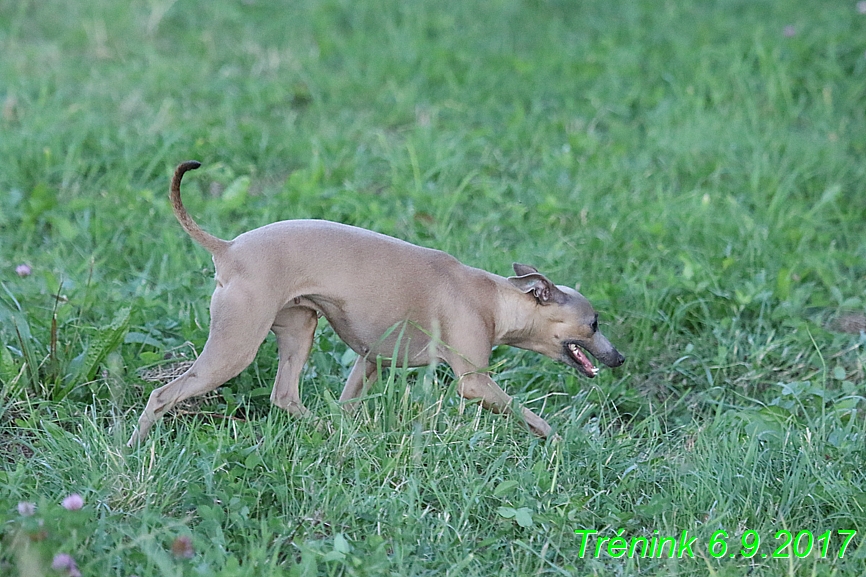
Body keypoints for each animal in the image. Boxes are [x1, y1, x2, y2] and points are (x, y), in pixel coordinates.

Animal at [125, 162, 620, 446]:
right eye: (594, 323)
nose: (619, 358)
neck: (494, 297)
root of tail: (227, 248)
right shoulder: (474, 383)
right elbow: (524, 411)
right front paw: (555, 440)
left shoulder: (372, 360)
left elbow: (349, 401)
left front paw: (350, 430)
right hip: (236, 346)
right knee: (162, 394)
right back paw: (131, 448)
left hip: (300, 327)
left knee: (285, 396)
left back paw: (328, 431)